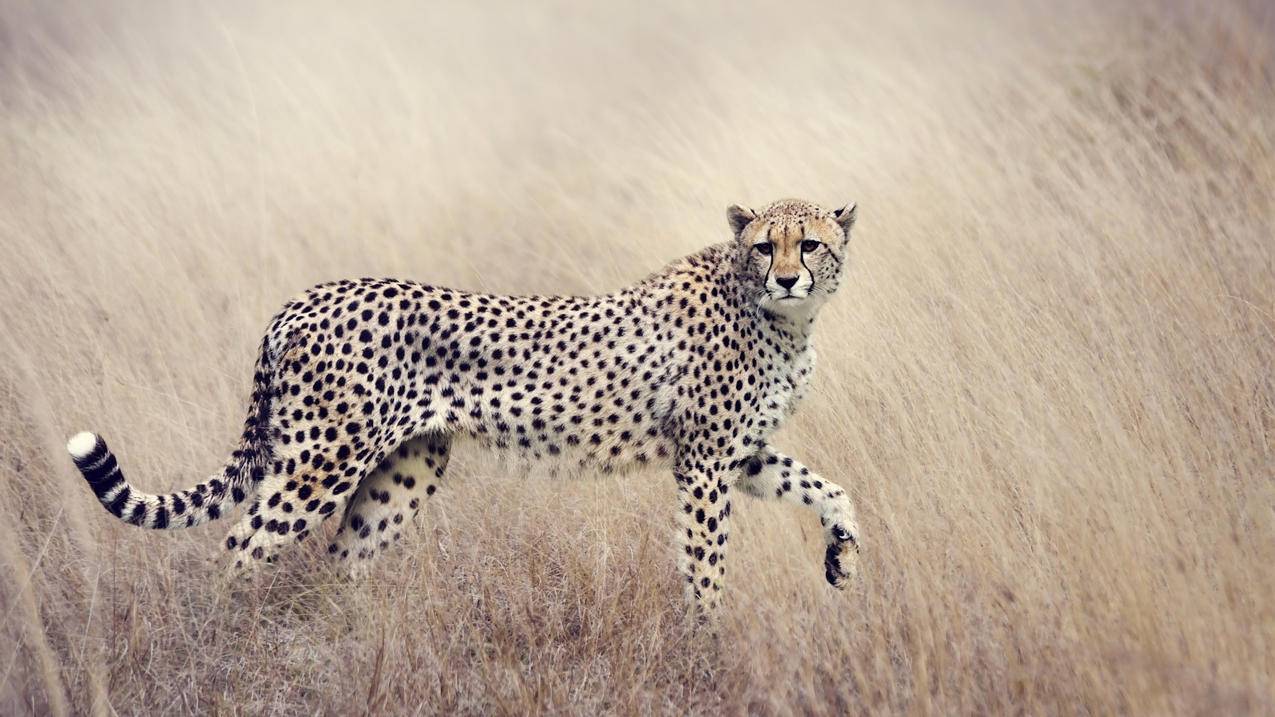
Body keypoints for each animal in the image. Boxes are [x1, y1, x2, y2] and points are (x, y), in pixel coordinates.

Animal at [69, 197, 867, 612]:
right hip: (321, 461)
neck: (783, 318)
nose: (789, 277)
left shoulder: (740, 455)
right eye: (766, 246)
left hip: (405, 469)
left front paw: (842, 554)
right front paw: (704, 640)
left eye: (811, 244)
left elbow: (828, 487)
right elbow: (706, 562)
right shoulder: (703, 463)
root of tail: (304, 298)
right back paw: (230, 639)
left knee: (341, 558)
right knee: (240, 545)